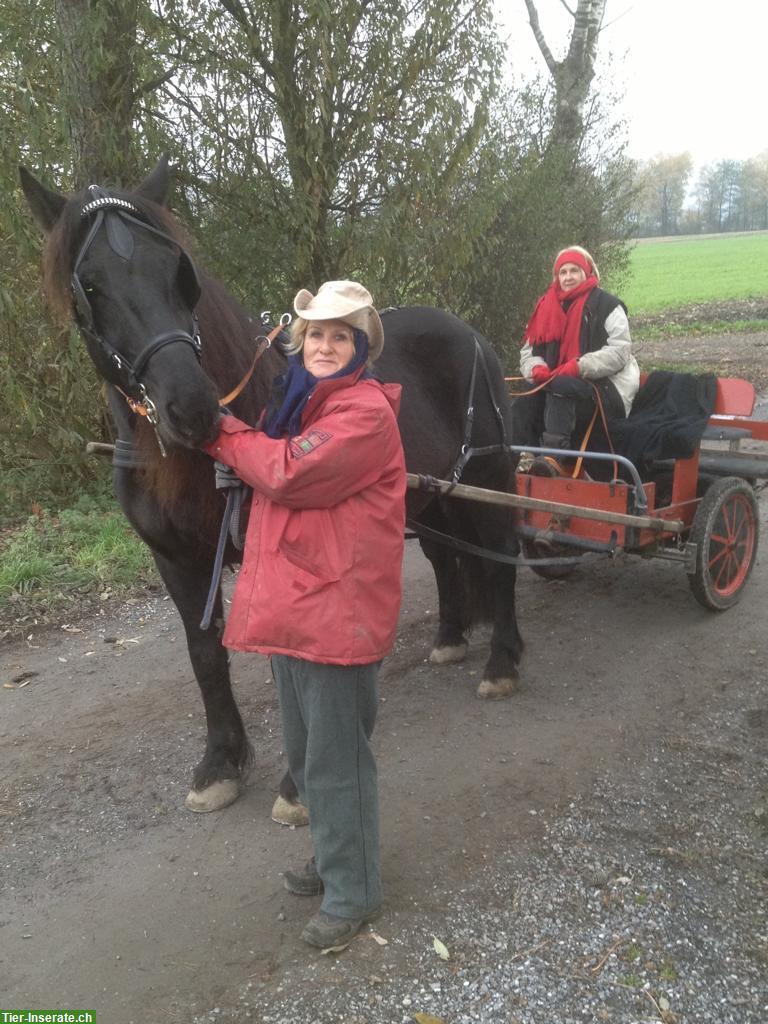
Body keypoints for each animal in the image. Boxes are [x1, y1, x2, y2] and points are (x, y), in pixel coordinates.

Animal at [19, 157, 524, 815]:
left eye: (177, 271)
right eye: (90, 287)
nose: (192, 405)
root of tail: (466, 330)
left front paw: (299, 780)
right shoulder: (176, 560)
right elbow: (205, 651)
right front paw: (220, 762)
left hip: (490, 475)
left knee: (502, 557)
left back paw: (502, 662)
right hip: (434, 494)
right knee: (446, 556)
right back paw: (449, 638)